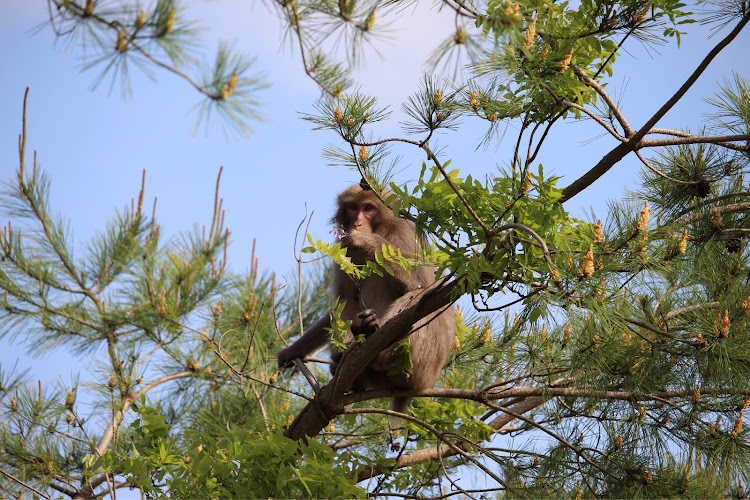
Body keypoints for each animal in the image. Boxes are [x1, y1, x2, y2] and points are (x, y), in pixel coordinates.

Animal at [280, 184, 456, 414]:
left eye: (368, 208)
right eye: (353, 208)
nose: (357, 223)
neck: (381, 229)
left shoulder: (403, 235)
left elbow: (425, 284)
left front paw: (368, 242)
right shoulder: (343, 248)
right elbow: (343, 298)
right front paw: (293, 351)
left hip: (423, 361)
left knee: (418, 298)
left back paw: (377, 344)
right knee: (347, 302)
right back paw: (349, 352)